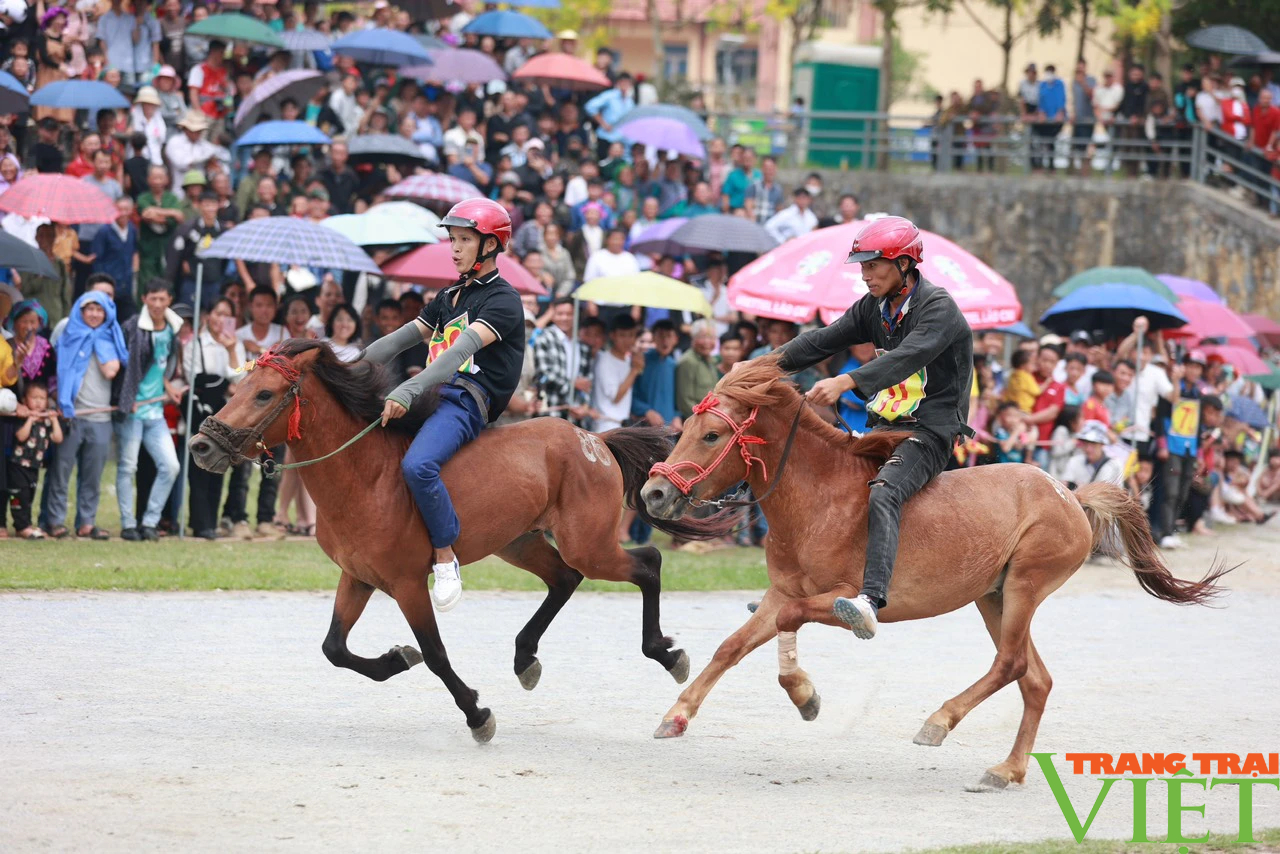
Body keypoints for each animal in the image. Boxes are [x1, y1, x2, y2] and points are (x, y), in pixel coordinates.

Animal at [188, 338, 732, 742]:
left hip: (588, 544)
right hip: (518, 542)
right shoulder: (358, 577)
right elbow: (334, 648)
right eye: (238, 386)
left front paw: (475, 713)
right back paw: (525, 657)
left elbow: (435, 654)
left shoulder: (407, 583)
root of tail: (593, 439)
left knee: (647, 562)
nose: (200, 445)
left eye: (263, 394)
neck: (365, 474)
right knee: (565, 578)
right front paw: (394, 660)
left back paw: (666, 653)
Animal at [640, 358, 1228, 793]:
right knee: (1034, 678)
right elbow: (732, 646)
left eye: (711, 435)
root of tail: (1068, 494)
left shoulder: (836, 602)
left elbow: (793, 623)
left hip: (1024, 586)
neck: (820, 497)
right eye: (684, 428)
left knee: (1011, 664)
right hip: (993, 597)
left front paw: (804, 694)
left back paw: (939, 722)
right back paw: (1006, 770)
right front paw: (678, 714)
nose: (654, 493)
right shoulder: (780, 591)